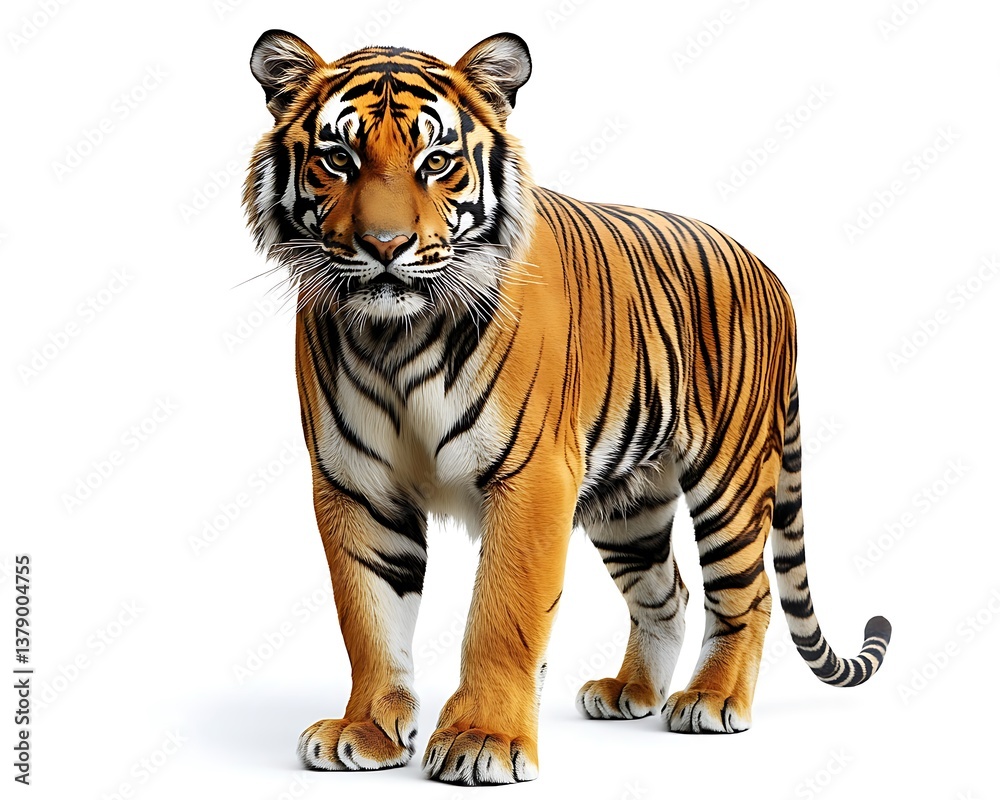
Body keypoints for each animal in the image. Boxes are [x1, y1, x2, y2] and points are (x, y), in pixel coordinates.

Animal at [242, 29, 892, 786]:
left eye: (437, 162)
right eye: (338, 159)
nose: (385, 247)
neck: (395, 336)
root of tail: (771, 272)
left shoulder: (532, 477)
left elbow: (502, 617)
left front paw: (482, 740)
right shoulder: (354, 483)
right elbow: (370, 619)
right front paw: (366, 730)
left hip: (730, 478)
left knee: (746, 594)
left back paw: (711, 699)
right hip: (630, 504)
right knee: (667, 594)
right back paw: (630, 692)